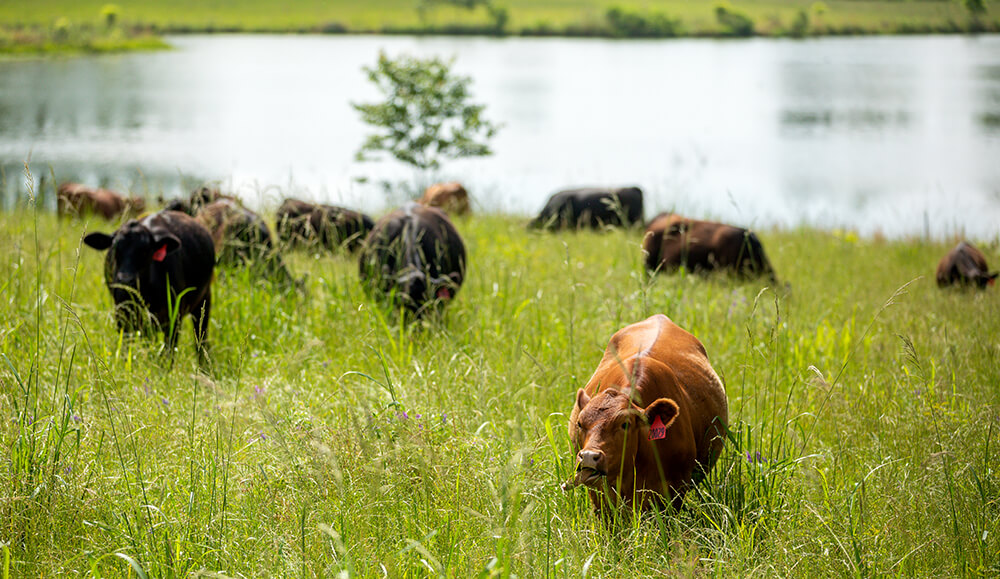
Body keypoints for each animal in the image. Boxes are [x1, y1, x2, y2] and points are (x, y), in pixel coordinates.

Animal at [83, 208, 216, 362]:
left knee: (201, 340)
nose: (126, 280)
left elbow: (168, 353)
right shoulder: (122, 316)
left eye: (146, 250)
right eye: (115, 248)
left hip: (204, 299)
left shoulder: (174, 318)